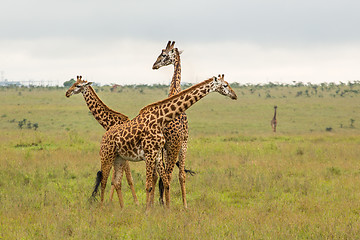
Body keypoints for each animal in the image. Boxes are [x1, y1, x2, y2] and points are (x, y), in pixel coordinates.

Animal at [64, 76, 139, 205]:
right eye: (73, 83)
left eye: (78, 85)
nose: (67, 93)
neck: (111, 122)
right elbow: (116, 179)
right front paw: (111, 201)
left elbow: (128, 179)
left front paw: (136, 202)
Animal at [92, 74, 239, 209]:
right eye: (225, 85)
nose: (235, 95)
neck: (160, 119)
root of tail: (104, 136)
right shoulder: (150, 153)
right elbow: (149, 184)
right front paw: (147, 211)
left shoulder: (156, 154)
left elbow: (165, 181)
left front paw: (166, 210)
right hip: (107, 156)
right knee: (104, 181)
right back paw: (102, 207)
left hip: (119, 158)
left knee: (116, 182)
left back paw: (121, 209)